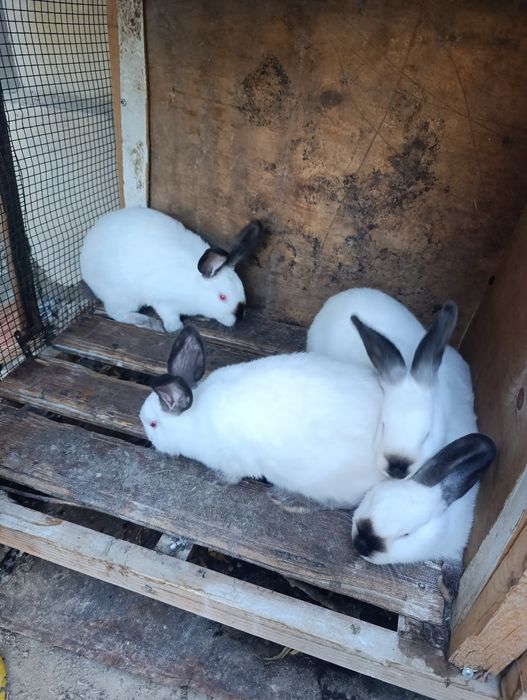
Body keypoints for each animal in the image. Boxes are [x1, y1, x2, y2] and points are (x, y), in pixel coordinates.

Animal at [80, 207, 262, 332]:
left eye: (242, 289)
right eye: (222, 297)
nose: (239, 317)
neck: (194, 288)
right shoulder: (164, 301)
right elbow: (169, 316)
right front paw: (176, 328)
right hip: (122, 296)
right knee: (118, 313)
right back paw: (149, 322)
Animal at [139, 325, 388, 507]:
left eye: (153, 424)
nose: (148, 436)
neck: (194, 418)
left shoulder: (231, 461)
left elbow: (231, 477)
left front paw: (215, 479)